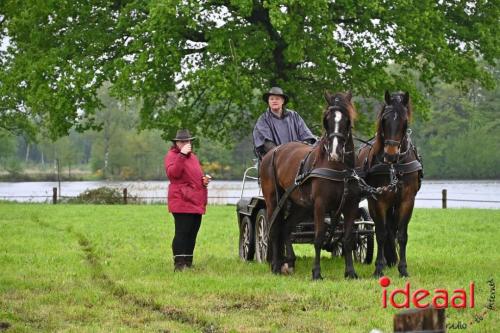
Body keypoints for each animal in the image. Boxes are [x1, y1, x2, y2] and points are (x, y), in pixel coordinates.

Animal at [260, 90, 362, 278]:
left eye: (346, 120)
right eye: (327, 120)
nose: (335, 152)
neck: (337, 168)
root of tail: (273, 152)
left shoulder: (351, 205)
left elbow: (348, 239)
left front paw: (351, 272)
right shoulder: (320, 205)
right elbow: (319, 237)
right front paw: (316, 273)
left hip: (302, 206)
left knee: (286, 228)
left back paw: (290, 262)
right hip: (273, 201)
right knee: (275, 229)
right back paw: (276, 265)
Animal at [356, 91, 422, 278]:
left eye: (404, 121)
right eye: (384, 120)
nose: (390, 155)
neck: (394, 167)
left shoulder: (407, 200)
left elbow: (402, 235)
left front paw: (403, 269)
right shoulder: (378, 201)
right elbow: (381, 233)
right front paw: (379, 268)